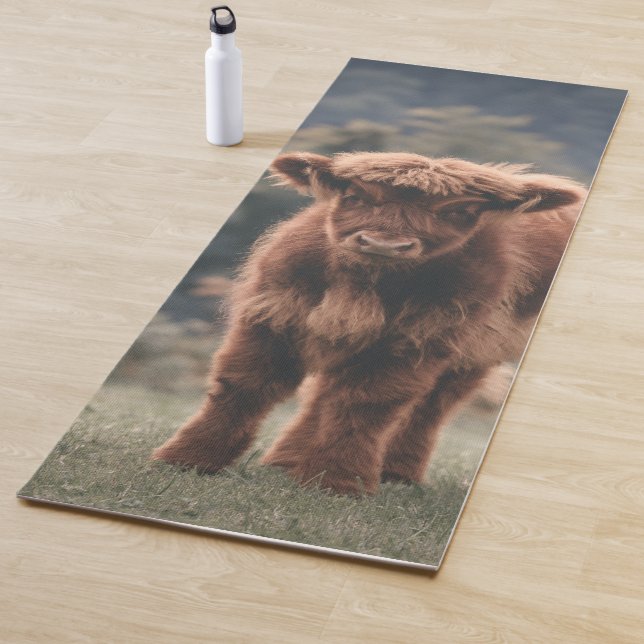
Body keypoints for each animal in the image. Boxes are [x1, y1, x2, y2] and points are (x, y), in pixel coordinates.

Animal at [152, 151, 586, 496]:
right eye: (356, 197)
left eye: (455, 211)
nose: (384, 244)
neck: (364, 285)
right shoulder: (273, 314)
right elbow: (244, 385)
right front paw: (187, 459)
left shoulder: (416, 342)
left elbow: (366, 405)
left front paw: (336, 483)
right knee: (325, 395)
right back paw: (286, 462)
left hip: (475, 351)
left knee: (430, 407)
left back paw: (394, 473)